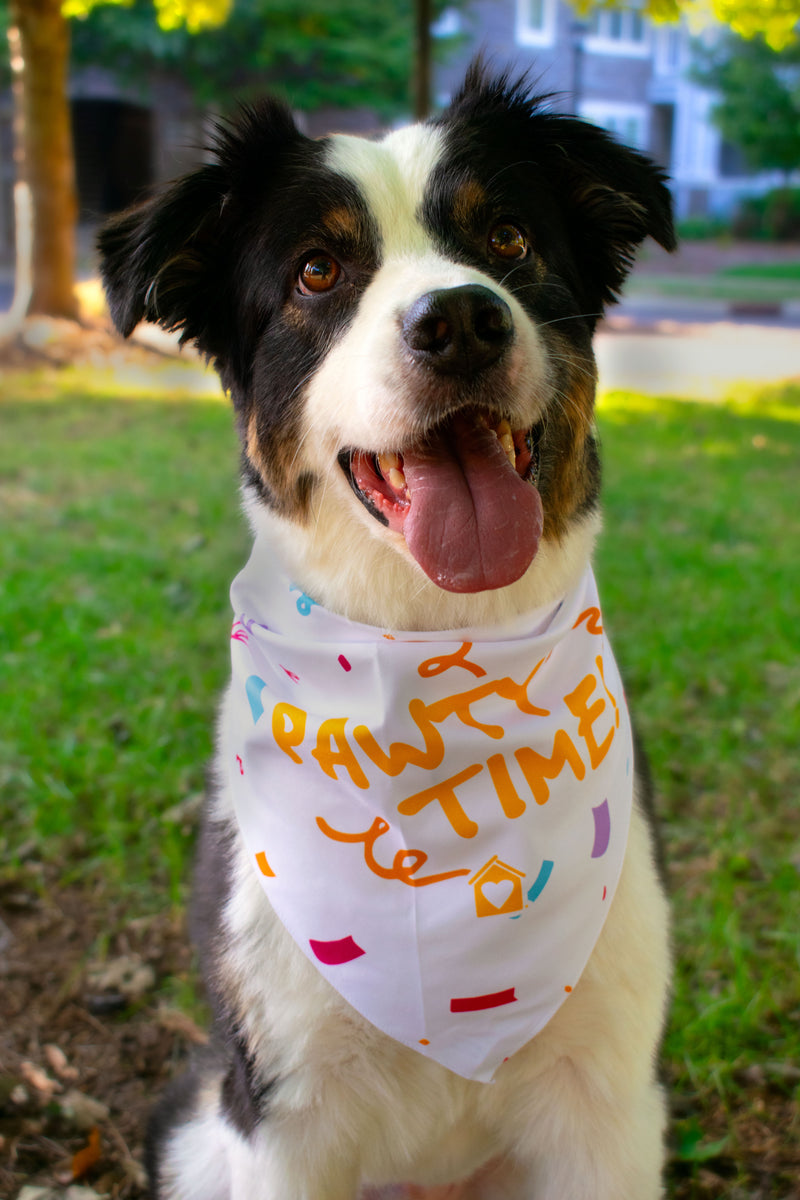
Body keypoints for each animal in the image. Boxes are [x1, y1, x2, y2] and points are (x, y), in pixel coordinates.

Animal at [98, 63, 676, 1200]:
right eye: (317, 271)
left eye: (506, 238)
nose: (459, 321)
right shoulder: (280, 1113)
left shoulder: (609, 1112)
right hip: (192, 1124)